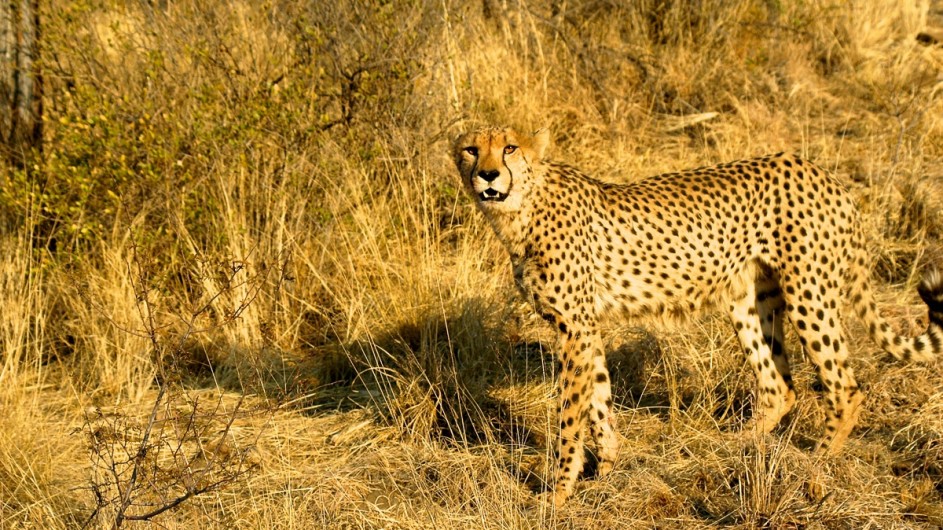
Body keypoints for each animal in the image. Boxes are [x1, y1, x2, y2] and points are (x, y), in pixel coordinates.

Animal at [454, 124, 940, 504]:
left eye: (510, 147)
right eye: (471, 149)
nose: (488, 174)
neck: (522, 207)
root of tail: (823, 173)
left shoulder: (575, 327)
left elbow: (571, 416)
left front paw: (557, 494)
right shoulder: (584, 328)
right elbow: (599, 402)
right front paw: (606, 471)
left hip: (809, 294)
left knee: (845, 386)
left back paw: (817, 460)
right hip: (749, 301)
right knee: (779, 385)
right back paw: (739, 446)